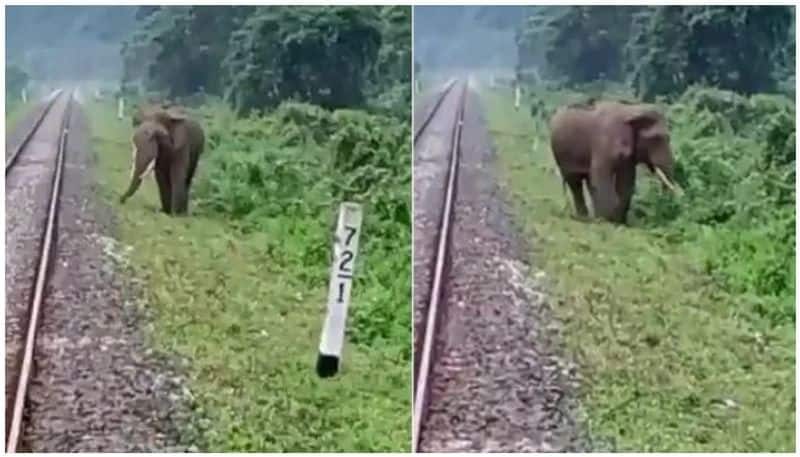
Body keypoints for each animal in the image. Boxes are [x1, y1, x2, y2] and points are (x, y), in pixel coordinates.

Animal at [552, 99, 680, 224]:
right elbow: (602, 177)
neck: (632, 110)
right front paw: (607, 220)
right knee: (575, 183)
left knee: (588, 182)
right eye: (656, 139)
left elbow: (626, 182)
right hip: (563, 156)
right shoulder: (603, 142)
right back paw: (585, 218)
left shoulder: (629, 157)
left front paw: (618, 221)